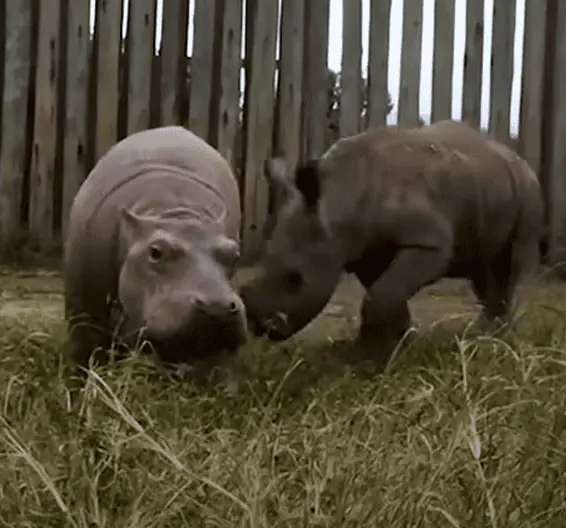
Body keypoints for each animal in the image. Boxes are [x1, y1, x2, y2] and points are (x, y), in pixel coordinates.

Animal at [63, 126, 247, 372]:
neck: (176, 212)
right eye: (155, 251)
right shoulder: (84, 304)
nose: (217, 306)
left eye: (234, 254)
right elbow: (87, 349)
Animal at [241, 120, 544, 368]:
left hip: (528, 191)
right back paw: (482, 333)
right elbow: (383, 294)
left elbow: (381, 295)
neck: (339, 198)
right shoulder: (365, 252)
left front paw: (369, 360)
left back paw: (494, 339)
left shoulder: (427, 243)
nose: (262, 328)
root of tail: (518, 158)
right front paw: (396, 343)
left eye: (295, 278)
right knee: (483, 270)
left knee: (510, 265)